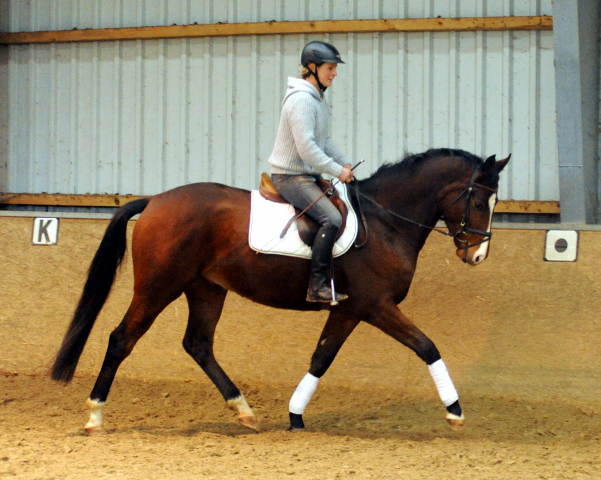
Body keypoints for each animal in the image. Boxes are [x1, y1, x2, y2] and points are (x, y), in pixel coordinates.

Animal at [50, 149, 506, 436]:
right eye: (479, 201)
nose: (478, 254)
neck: (384, 222)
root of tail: (155, 201)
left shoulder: (349, 309)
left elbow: (321, 358)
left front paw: (295, 416)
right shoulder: (376, 305)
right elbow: (427, 346)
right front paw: (455, 412)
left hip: (206, 289)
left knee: (198, 344)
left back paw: (244, 412)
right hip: (158, 286)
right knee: (121, 339)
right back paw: (95, 416)